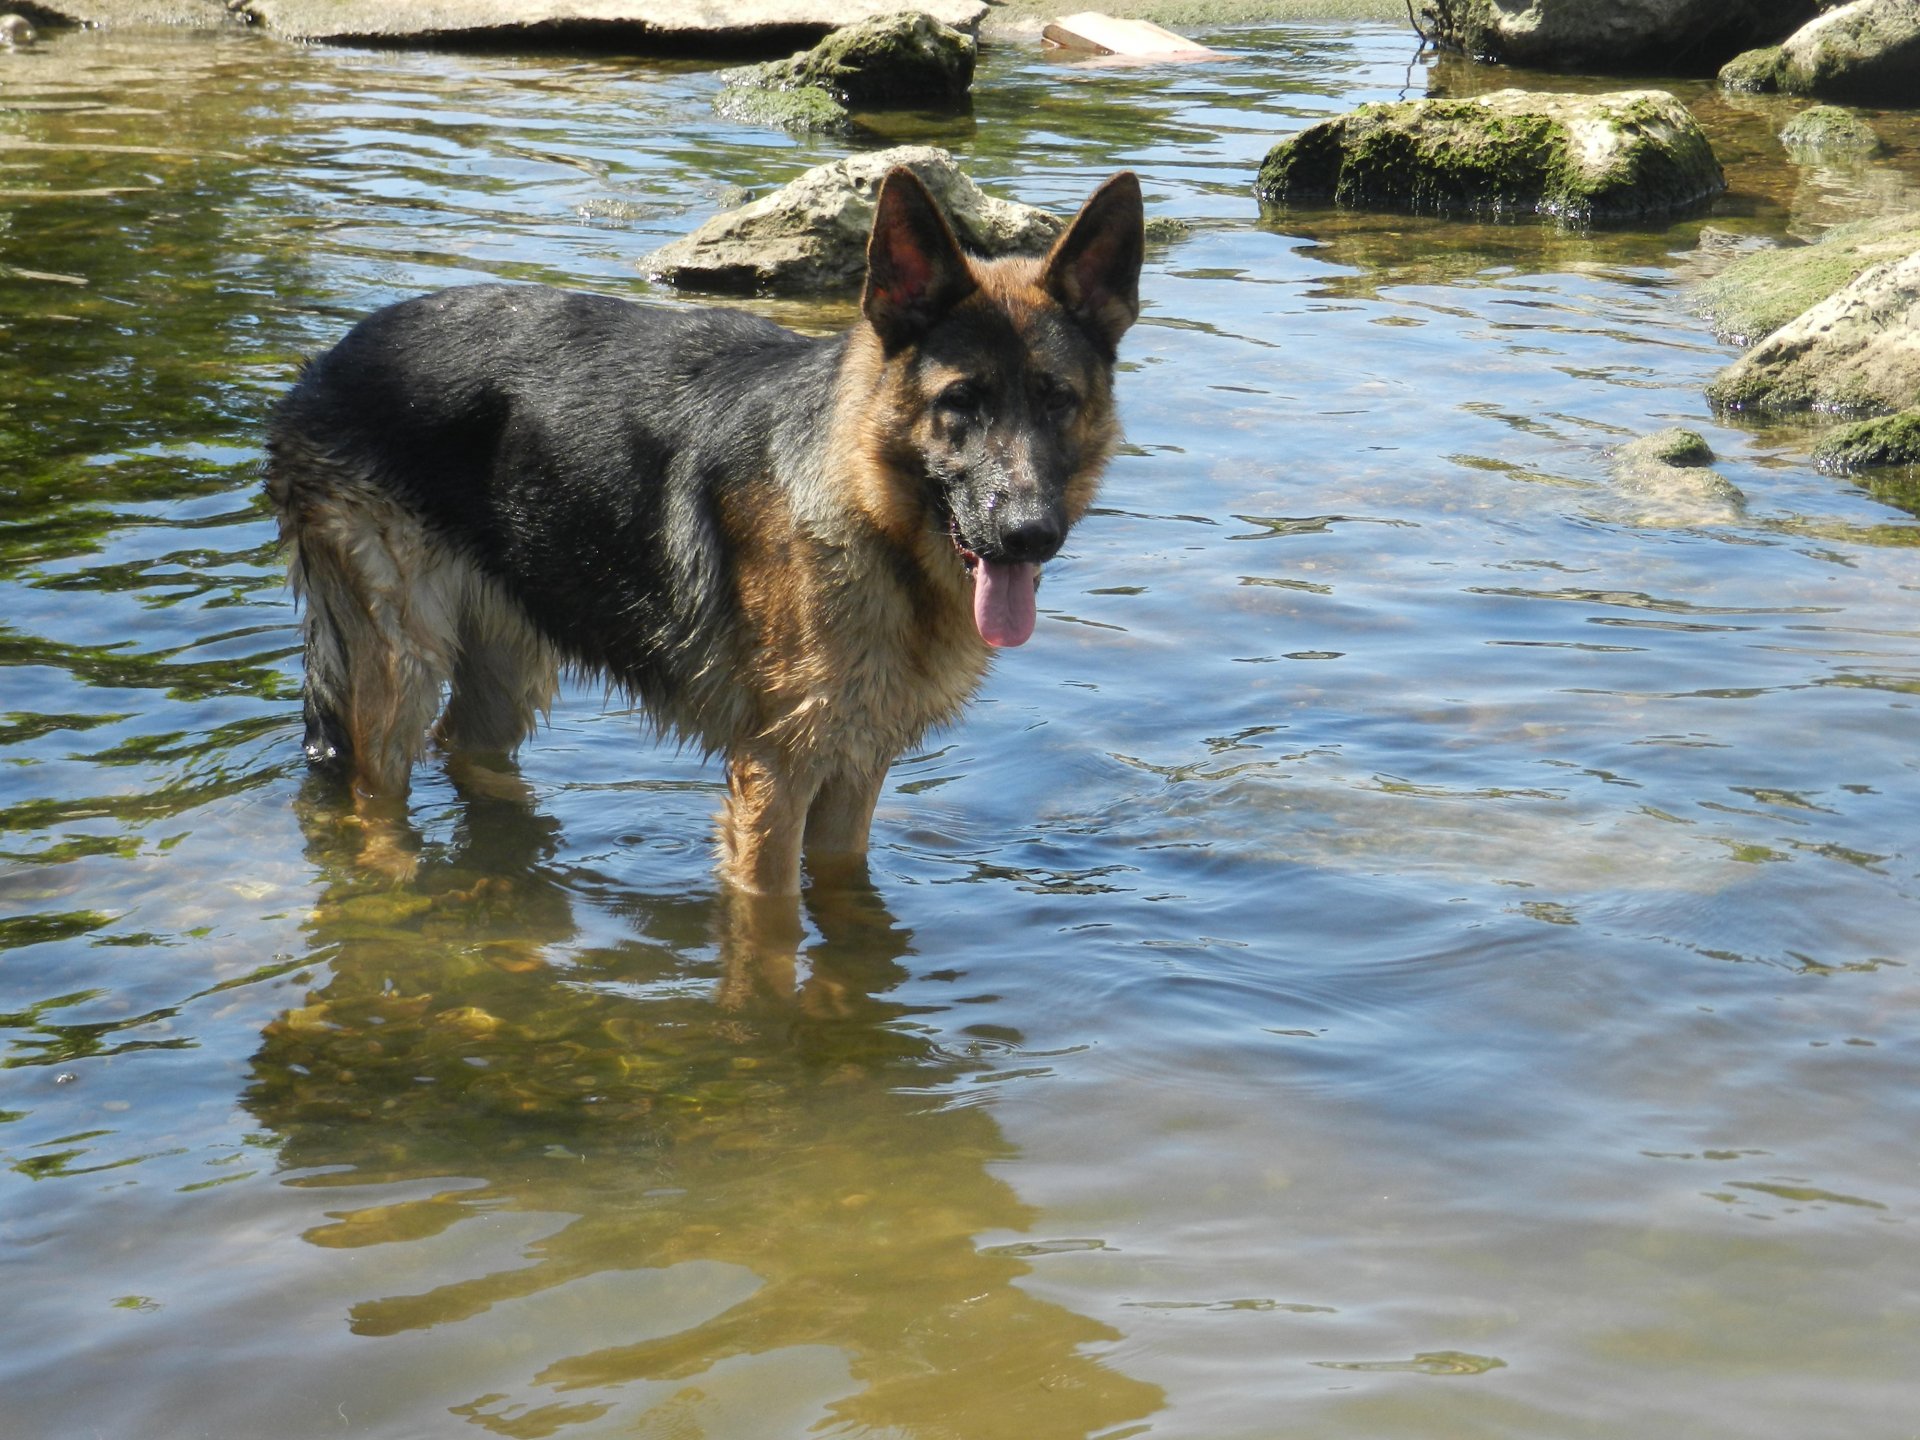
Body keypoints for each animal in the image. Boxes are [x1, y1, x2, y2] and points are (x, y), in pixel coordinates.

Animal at [266, 163, 1136, 898]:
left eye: (1056, 400)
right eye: (961, 402)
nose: (1028, 535)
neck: (869, 511)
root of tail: (326, 360)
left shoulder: (854, 777)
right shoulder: (773, 784)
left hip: (511, 661)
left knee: (464, 749)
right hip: (399, 660)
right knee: (372, 793)